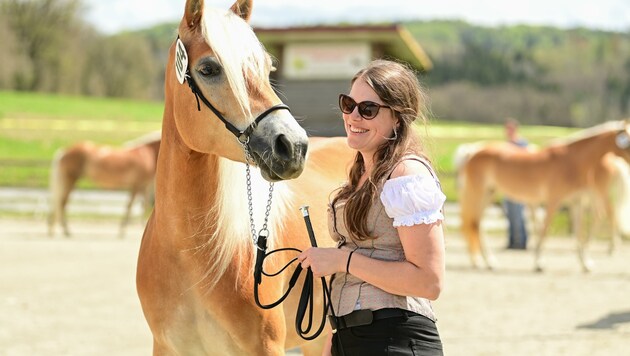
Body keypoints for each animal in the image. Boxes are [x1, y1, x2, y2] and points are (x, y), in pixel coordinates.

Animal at [456, 120, 630, 272]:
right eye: (627, 143)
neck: (572, 161)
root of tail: (473, 152)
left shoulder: (576, 202)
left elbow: (578, 233)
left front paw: (585, 264)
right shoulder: (553, 201)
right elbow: (545, 230)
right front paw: (539, 263)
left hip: (489, 193)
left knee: (476, 224)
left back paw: (486, 261)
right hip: (478, 193)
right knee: (475, 224)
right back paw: (488, 262)